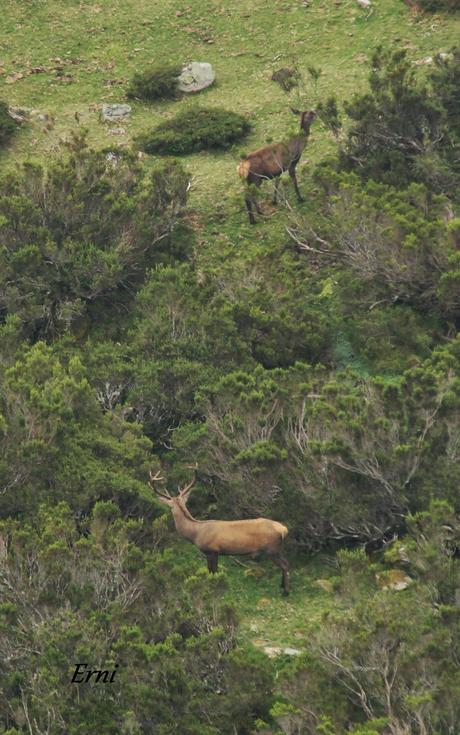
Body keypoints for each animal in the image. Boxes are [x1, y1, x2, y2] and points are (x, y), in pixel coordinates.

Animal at [149, 468, 290, 596]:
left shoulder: (212, 550)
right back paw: (282, 586)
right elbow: (210, 570)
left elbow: (213, 571)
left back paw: (285, 591)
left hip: (271, 549)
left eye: (170, 506)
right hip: (277, 549)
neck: (196, 534)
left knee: (285, 565)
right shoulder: (210, 552)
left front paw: (213, 588)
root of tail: (284, 529)